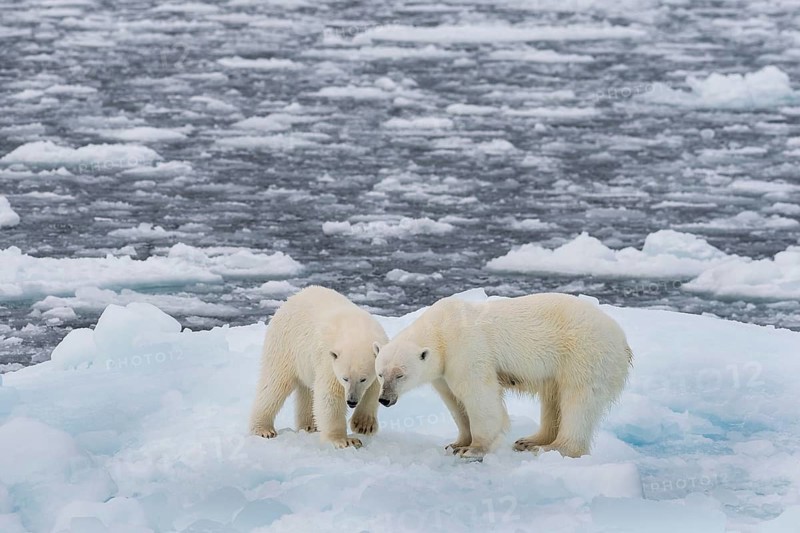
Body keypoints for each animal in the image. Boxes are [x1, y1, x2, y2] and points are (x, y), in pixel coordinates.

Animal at [249, 286, 389, 449]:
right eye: (344, 378)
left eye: (363, 379)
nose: (352, 401)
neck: (357, 331)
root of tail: (289, 300)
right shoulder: (329, 361)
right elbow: (330, 395)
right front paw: (344, 440)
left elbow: (376, 388)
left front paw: (363, 425)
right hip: (285, 346)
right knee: (274, 385)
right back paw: (263, 429)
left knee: (306, 390)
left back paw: (309, 425)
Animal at [374, 293, 632, 459]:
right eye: (380, 374)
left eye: (400, 375)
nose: (384, 399)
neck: (441, 329)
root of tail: (622, 340)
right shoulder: (443, 372)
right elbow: (454, 401)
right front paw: (456, 443)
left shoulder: (467, 349)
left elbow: (478, 396)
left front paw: (472, 449)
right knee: (553, 397)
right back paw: (530, 440)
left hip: (584, 353)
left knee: (578, 400)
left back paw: (554, 447)